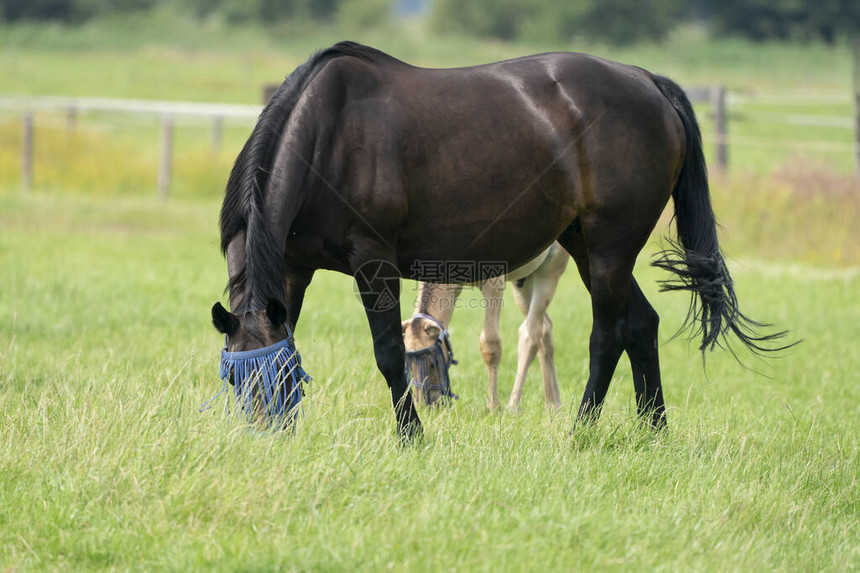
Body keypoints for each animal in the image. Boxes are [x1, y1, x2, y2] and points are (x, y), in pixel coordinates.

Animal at [212, 42, 788, 440]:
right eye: (236, 378)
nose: (261, 435)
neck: (327, 137)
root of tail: (648, 81)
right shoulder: (293, 268)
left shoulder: (374, 263)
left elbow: (388, 352)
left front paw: (411, 436)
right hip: (585, 246)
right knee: (642, 325)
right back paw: (655, 429)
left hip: (608, 250)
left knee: (609, 334)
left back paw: (581, 430)